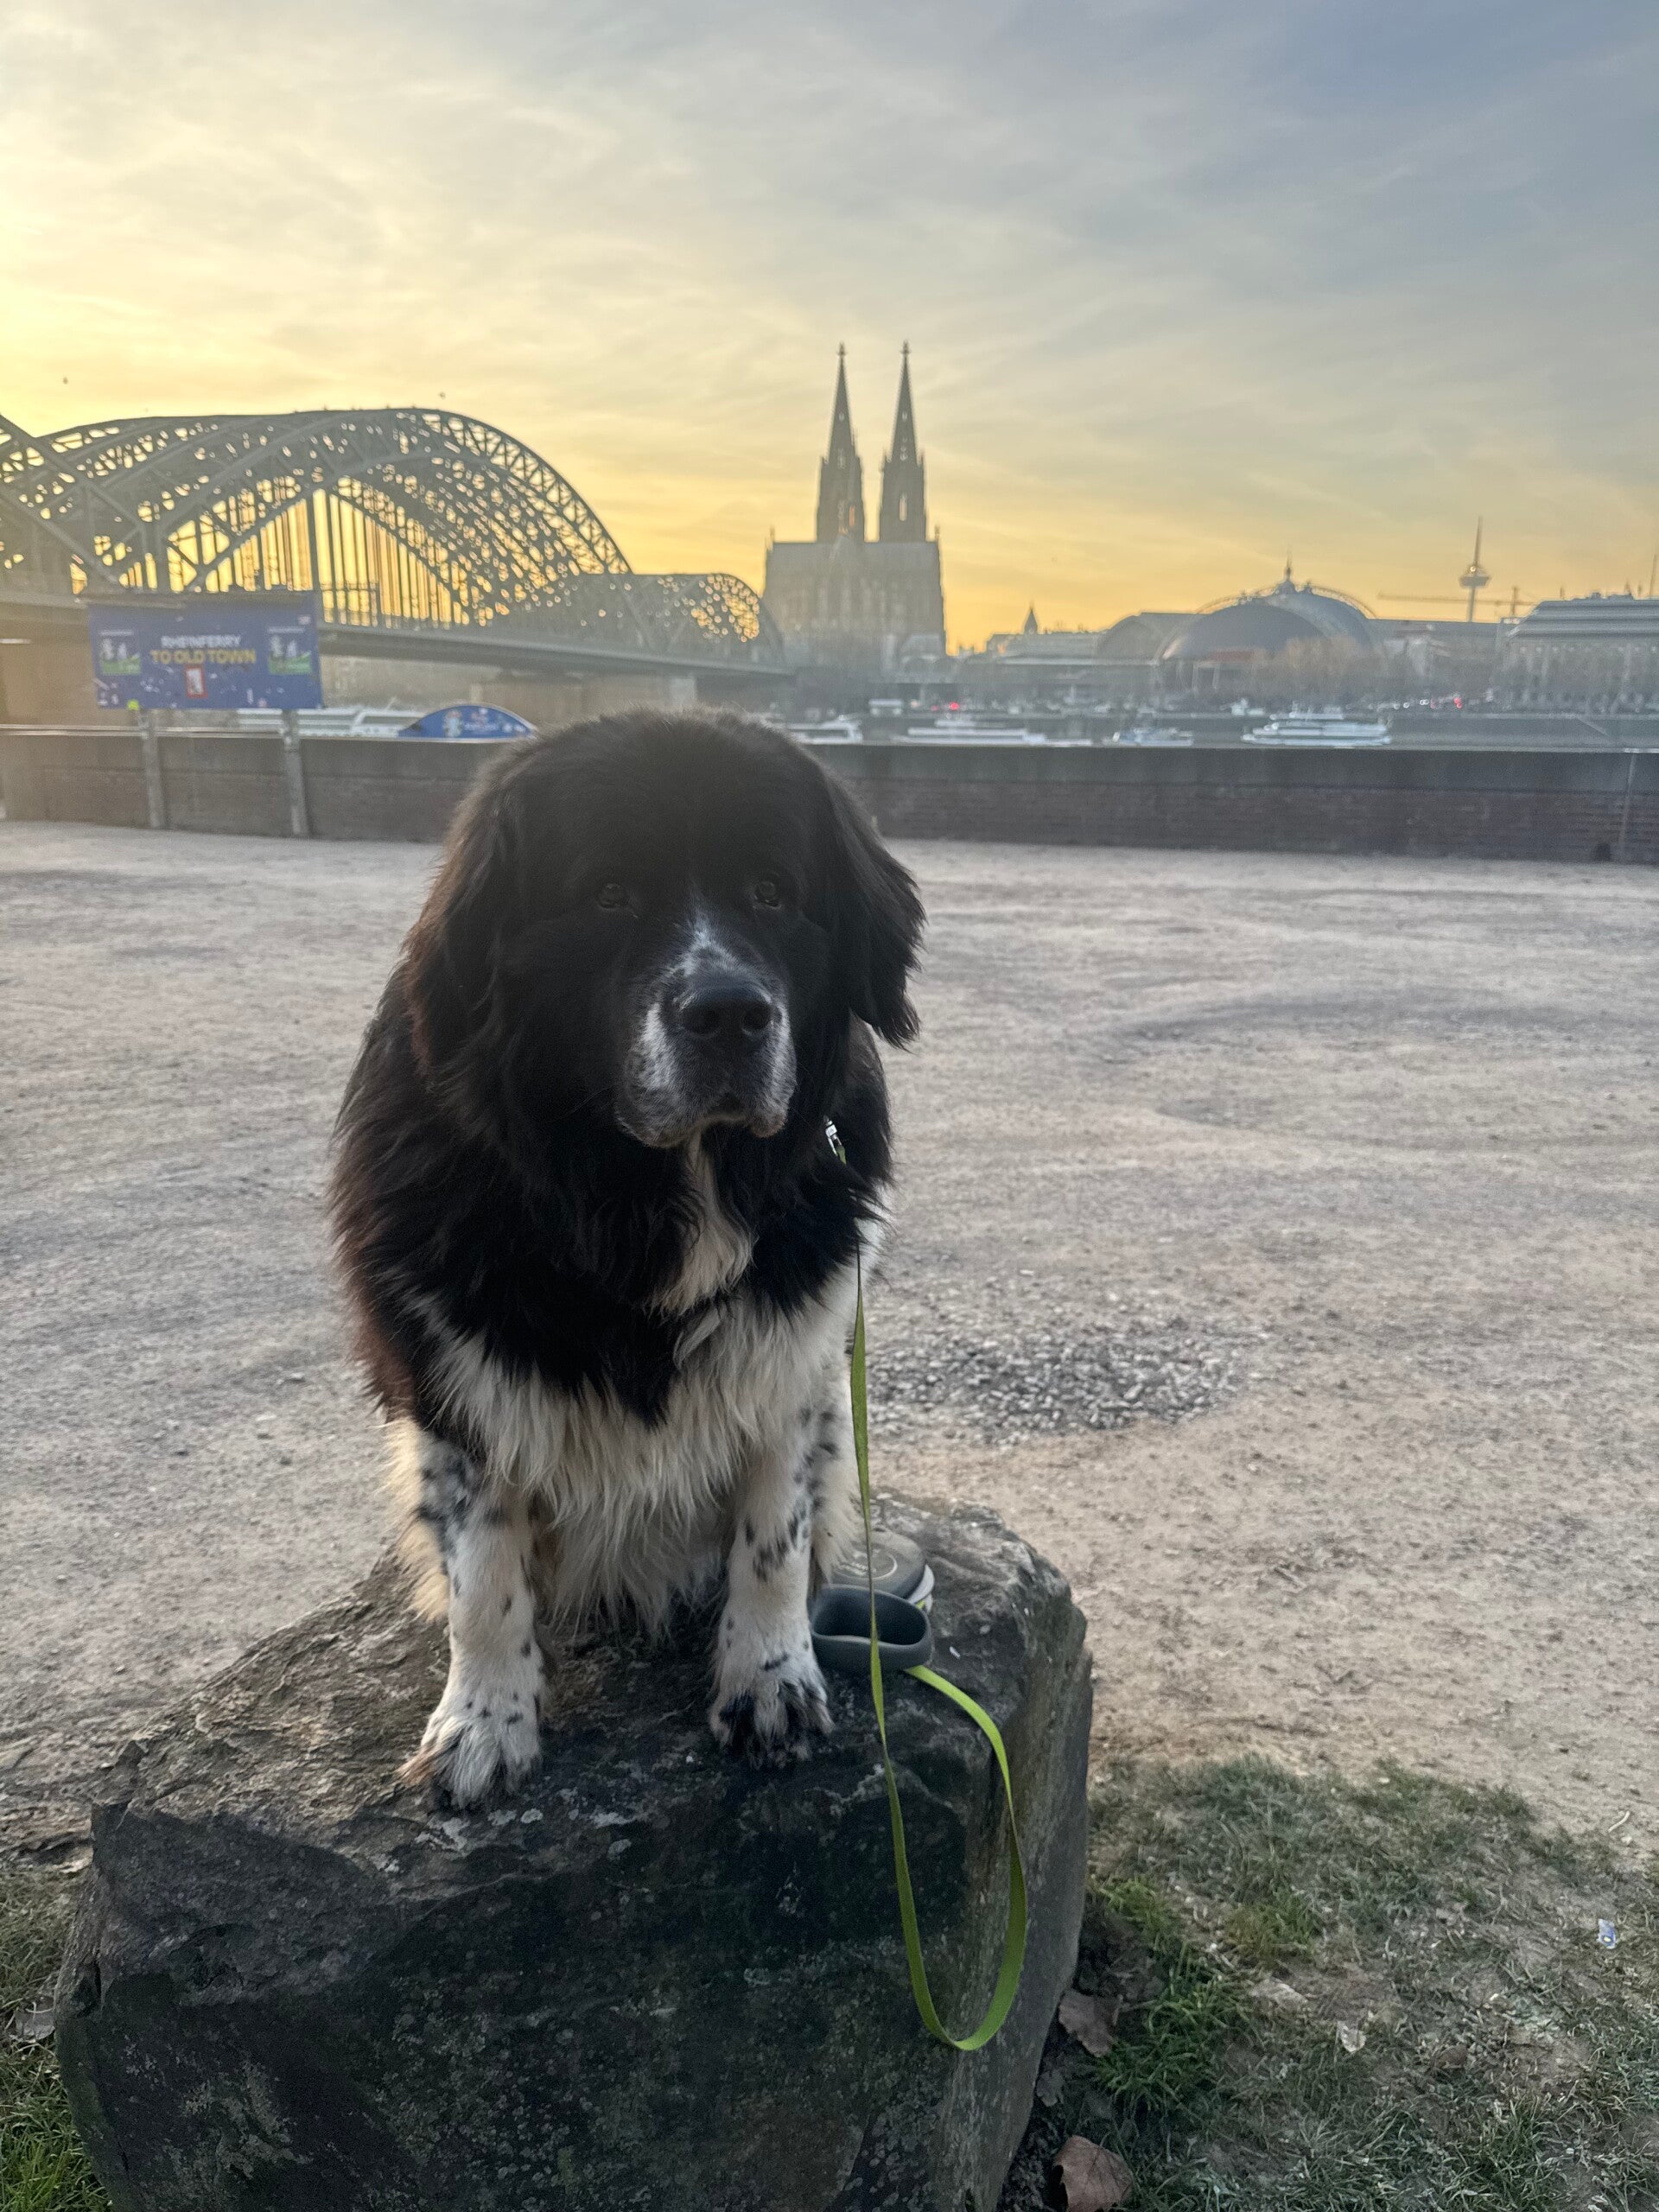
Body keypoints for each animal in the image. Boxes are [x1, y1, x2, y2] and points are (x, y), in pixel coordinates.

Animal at [331, 711, 924, 1806]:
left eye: (772, 891)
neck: (649, 1188)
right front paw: (484, 1721)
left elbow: (774, 1537)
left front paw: (769, 1678)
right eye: (607, 894)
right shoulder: (451, 1369)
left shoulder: (795, 1354)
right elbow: (483, 1568)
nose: (729, 1012)